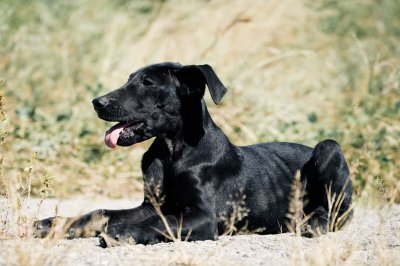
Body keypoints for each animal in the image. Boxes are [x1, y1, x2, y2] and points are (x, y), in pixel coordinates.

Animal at [35, 62, 354, 247]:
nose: (97, 103)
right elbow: (101, 212)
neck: (172, 152)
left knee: (337, 213)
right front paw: (54, 224)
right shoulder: (152, 205)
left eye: (147, 83)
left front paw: (125, 232)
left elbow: (160, 222)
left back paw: (313, 222)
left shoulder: (203, 217)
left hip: (329, 148)